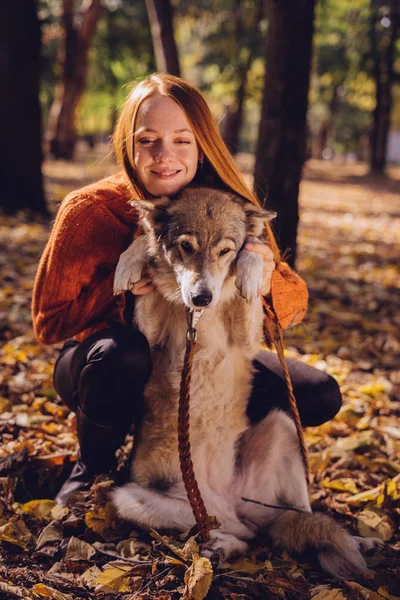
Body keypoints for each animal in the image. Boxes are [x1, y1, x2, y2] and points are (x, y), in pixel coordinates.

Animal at [110, 189, 382, 580]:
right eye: (185, 247)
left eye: (226, 250)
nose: (202, 297)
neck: (199, 317)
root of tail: (226, 502)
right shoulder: (149, 335)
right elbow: (143, 252)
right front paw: (132, 260)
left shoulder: (246, 336)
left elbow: (253, 255)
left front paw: (252, 272)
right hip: (131, 499)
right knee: (237, 536)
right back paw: (220, 550)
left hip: (283, 427)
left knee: (291, 517)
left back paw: (358, 542)